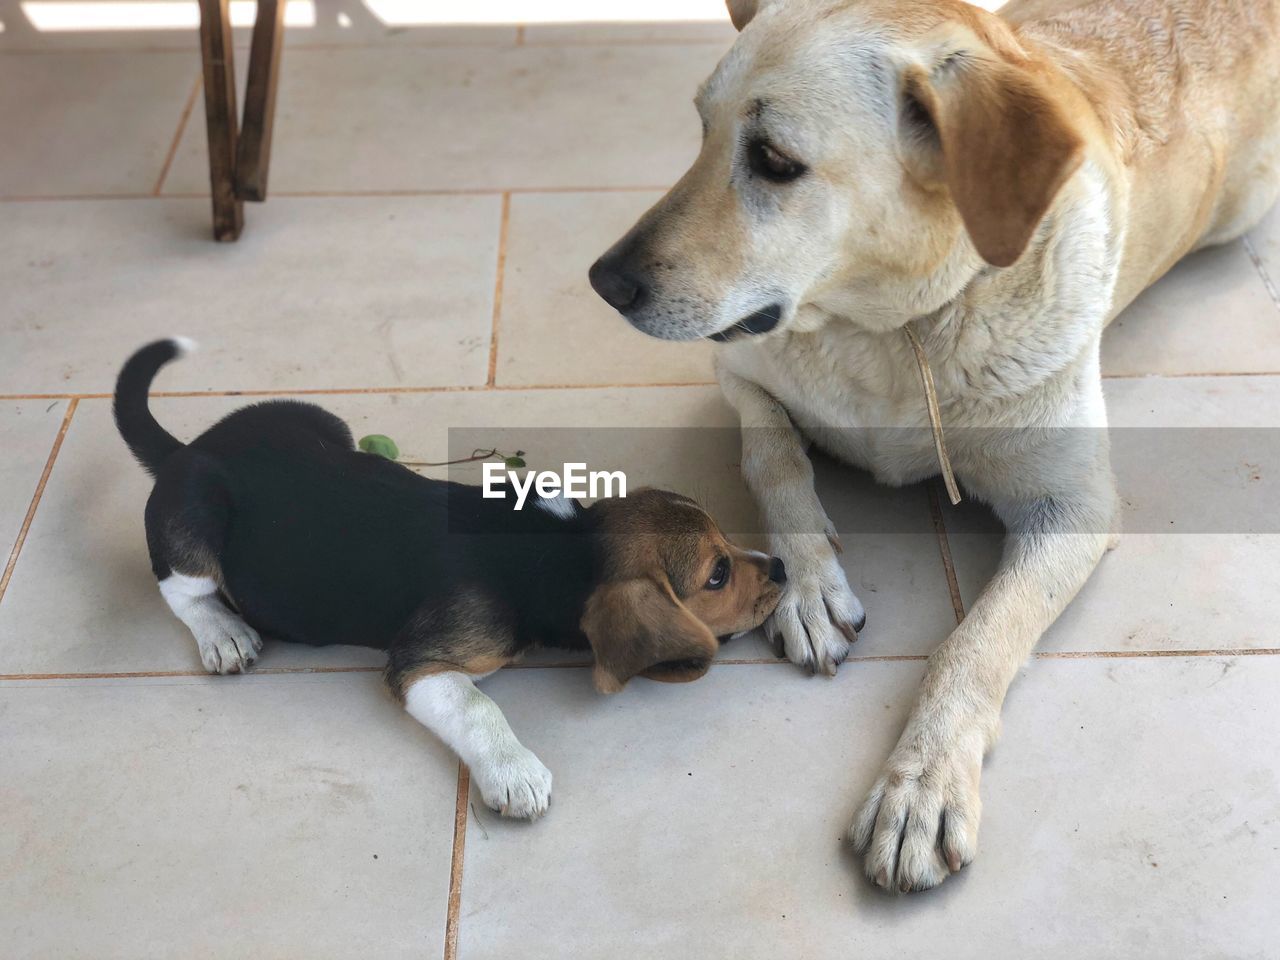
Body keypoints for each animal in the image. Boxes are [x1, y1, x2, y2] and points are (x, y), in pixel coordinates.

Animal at [115, 337, 783, 819]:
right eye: (718, 574)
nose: (780, 567)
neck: (561, 547)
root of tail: (185, 448)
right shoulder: (419, 664)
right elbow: (476, 705)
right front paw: (516, 774)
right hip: (196, 516)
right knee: (181, 589)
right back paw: (222, 634)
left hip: (320, 418)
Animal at [591, 0, 1280, 896]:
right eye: (701, 132)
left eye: (773, 161)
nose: (604, 281)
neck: (890, 329)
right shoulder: (741, 375)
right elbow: (773, 462)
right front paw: (807, 581)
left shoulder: (1075, 509)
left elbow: (974, 642)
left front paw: (921, 783)